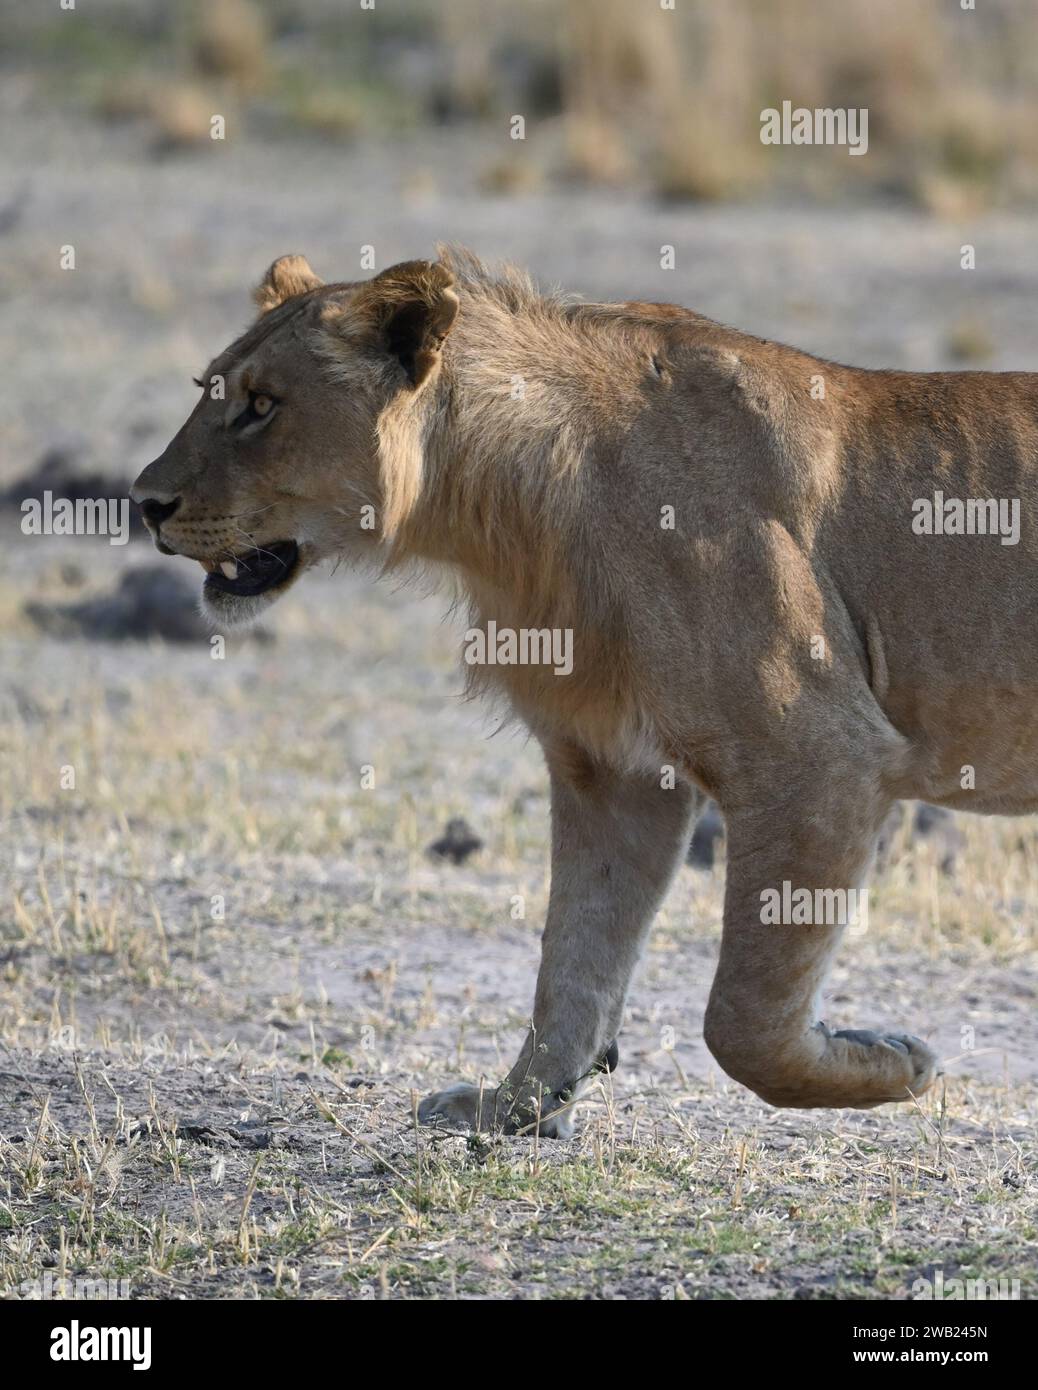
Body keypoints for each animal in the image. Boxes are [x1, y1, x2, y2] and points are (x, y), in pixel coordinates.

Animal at [132, 245, 1034, 1136]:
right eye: (209, 389)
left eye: (260, 406)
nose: (144, 503)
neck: (502, 515)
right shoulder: (614, 771)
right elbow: (576, 953)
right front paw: (518, 1105)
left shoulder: (820, 757)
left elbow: (741, 1020)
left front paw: (894, 1062)